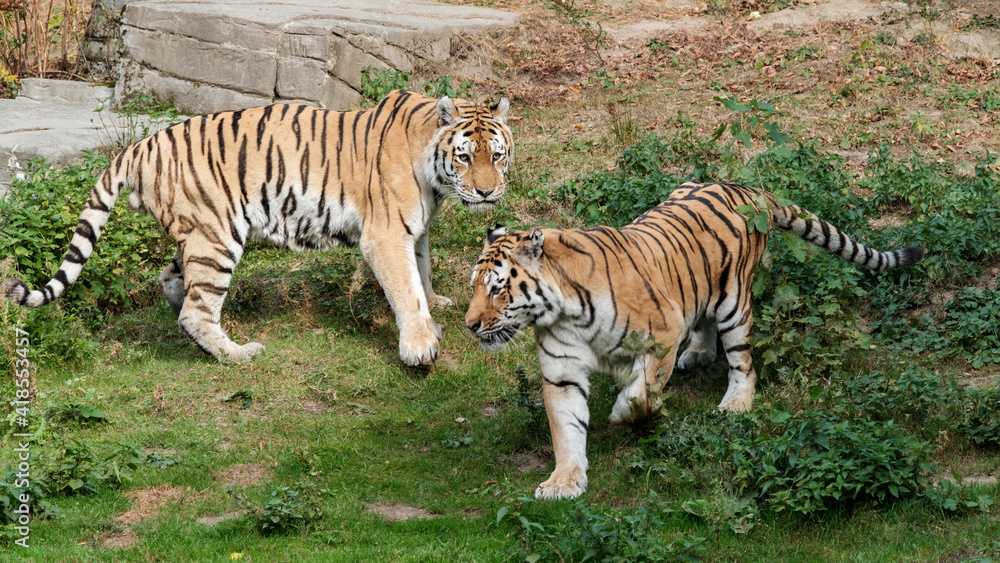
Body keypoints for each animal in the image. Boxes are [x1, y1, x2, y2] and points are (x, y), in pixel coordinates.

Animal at [3, 89, 513, 366]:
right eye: (465, 156)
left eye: (497, 155)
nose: (488, 193)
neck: (434, 175)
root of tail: (139, 146)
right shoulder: (385, 233)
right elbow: (405, 288)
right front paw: (421, 346)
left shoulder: (416, 229)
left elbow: (421, 272)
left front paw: (437, 304)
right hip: (217, 236)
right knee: (197, 309)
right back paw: (237, 353)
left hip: (197, 235)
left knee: (173, 281)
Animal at [464, 181, 923, 499]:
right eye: (473, 287)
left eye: (497, 289)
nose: (470, 325)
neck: (561, 310)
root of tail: (745, 187)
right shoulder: (561, 371)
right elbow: (566, 429)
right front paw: (564, 482)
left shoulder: (662, 334)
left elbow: (640, 393)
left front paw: (623, 412)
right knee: (703, 321)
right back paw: (699, 354)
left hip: (735, 303)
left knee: (743, 363)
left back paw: (735, 403)